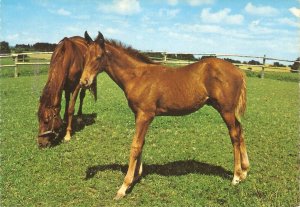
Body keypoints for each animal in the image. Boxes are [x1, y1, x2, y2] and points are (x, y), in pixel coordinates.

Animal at [79, 32, 248, 199]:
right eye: (86, 56)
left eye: (99, 57)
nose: (83, 82)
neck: (138, 76)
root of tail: (239, 71)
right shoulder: (139, 116)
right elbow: (142, 143)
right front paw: (137, 176)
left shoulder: (145, 115)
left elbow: (135, 146)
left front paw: (124, 187)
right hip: (227, 110)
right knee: (240, 131)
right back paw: (245, 171)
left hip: (226, 110)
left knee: (234, 135)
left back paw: (236, 176)